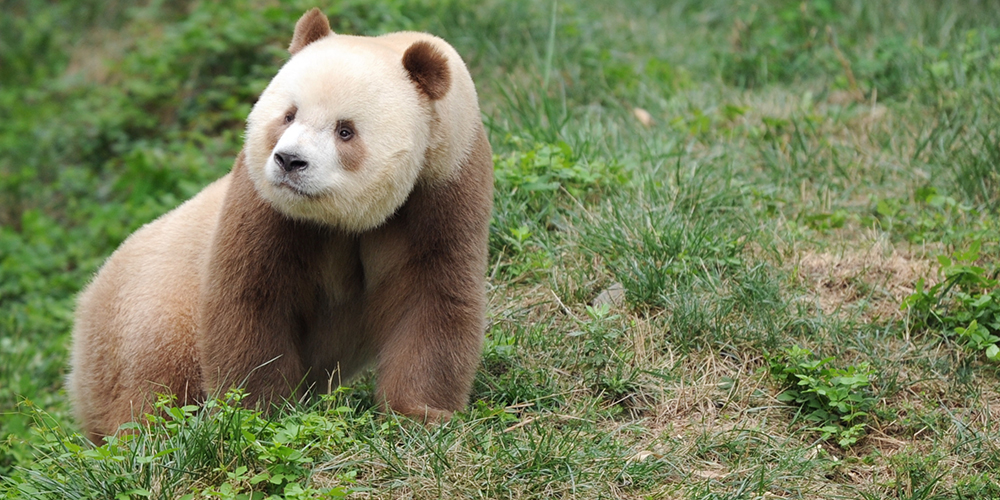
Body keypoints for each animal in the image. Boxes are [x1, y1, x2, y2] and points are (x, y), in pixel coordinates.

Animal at [68, 8, 494, 442]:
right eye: (289, 115)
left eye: (345, 130)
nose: (290, 160)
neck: (342, 220)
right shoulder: (263, 204)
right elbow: (253, 299)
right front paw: (258, 415)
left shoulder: (443, 187)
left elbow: (432, 297)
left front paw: (422, 414)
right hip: (150, 308)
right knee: (157, 378)